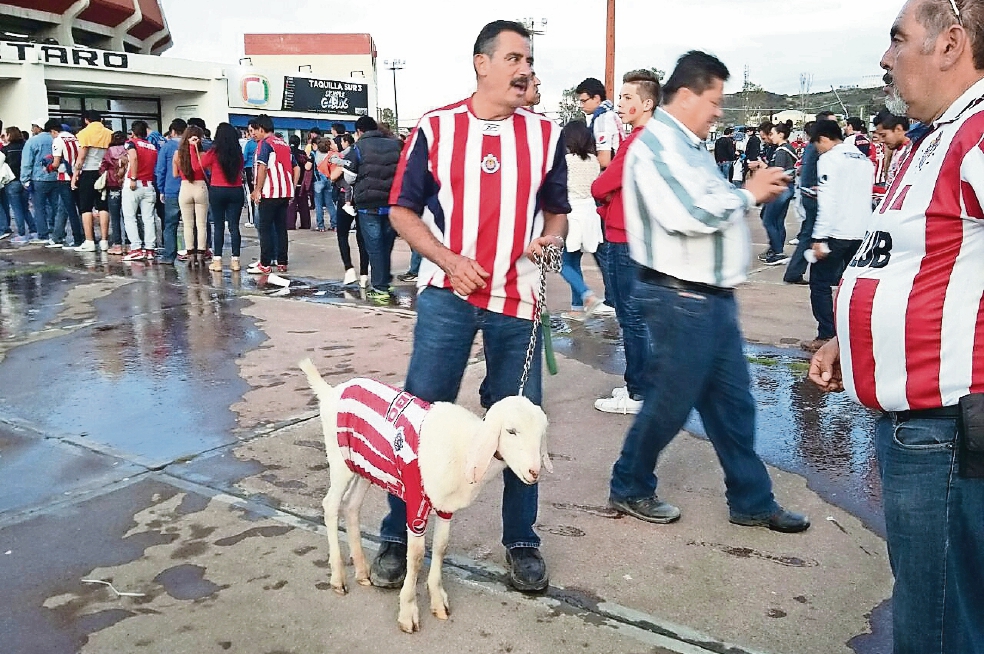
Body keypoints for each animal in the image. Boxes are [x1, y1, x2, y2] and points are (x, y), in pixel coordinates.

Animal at [296, 358, 548, 636]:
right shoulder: (416, 501)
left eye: (542, 433)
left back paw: (362, 571)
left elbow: (440, 547)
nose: (534, 472)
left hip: (365, 465)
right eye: (511, 431)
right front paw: (408, 613)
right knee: (330, 505)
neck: (465, 447)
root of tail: (331, 393)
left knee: (351, 505)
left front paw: (438, 602)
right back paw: (338, 578)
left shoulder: (445, 505)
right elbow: (416, 556)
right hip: (339, 458)